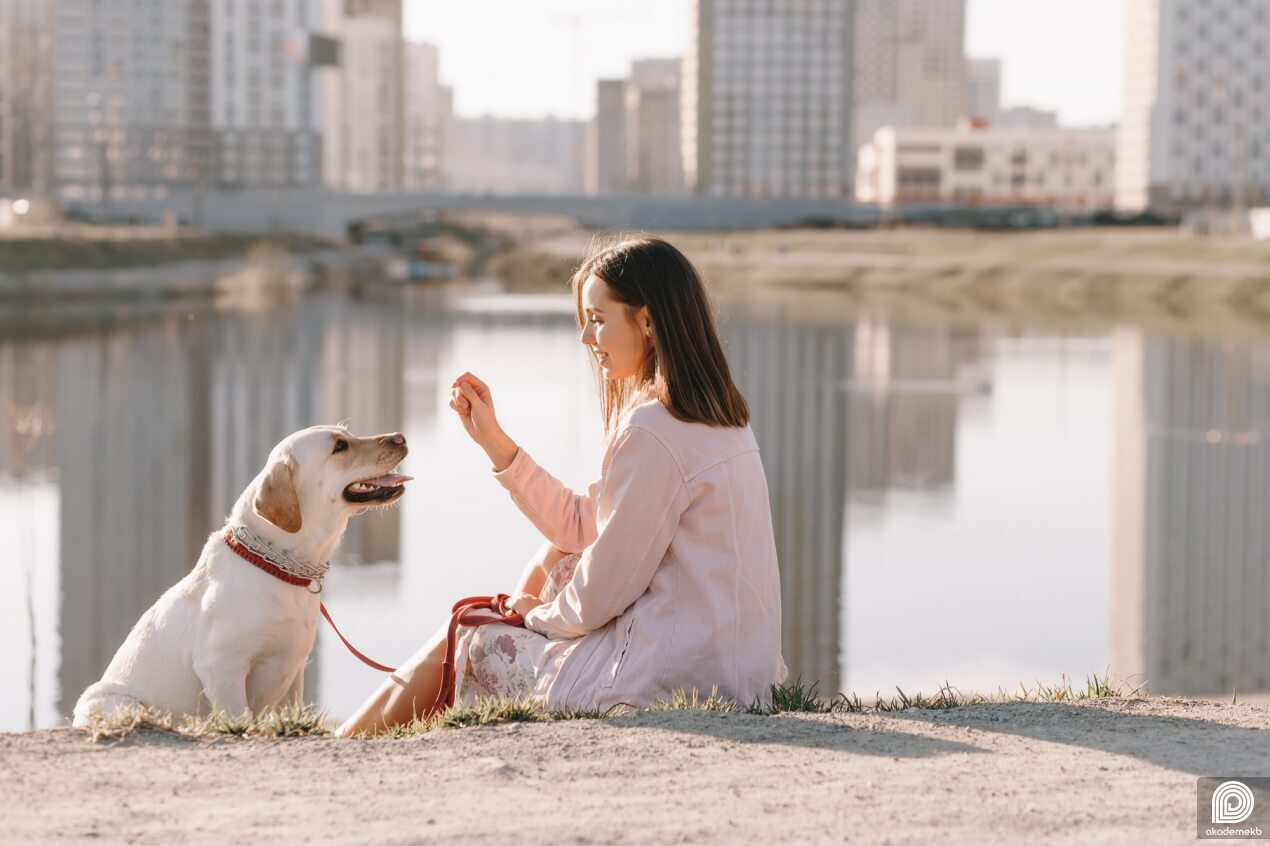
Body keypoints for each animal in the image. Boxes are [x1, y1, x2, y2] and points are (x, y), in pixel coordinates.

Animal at [73, 424, 411, 721]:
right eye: (339, 446)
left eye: (348, 435)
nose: (400, 436)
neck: (278, 566)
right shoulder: (221, 667)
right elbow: (241, 716)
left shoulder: (294, 669)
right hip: (115, 701)